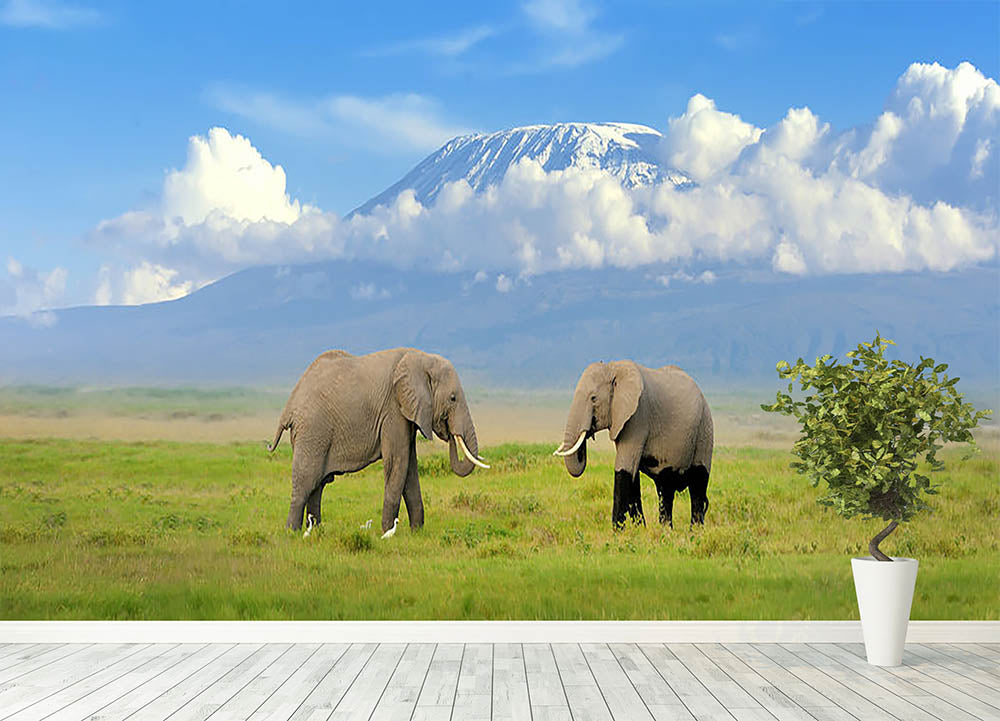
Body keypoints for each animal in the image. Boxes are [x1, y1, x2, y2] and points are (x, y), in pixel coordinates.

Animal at [267, 348, 489, 532]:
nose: (449, 430)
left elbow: (410, 468)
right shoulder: (393, 410)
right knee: (306, 481)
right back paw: (293, 532)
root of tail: (289, 406)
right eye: (453, 398)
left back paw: (316, 530)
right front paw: (388, 532)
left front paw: (416, 532)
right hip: (312, 431)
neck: (421, 357)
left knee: (317, 485)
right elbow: (398, 463)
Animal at [554, 361, 713, 529]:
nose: (588, 432)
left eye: (593, 398)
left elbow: (624, 469)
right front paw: (640, 529)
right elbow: (632, 476)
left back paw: (695, 532)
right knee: (666, 489)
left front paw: (618, 532)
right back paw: (666, 531)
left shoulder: (638, 417)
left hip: (705, 429)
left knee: (698, 483)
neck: (613, 368)